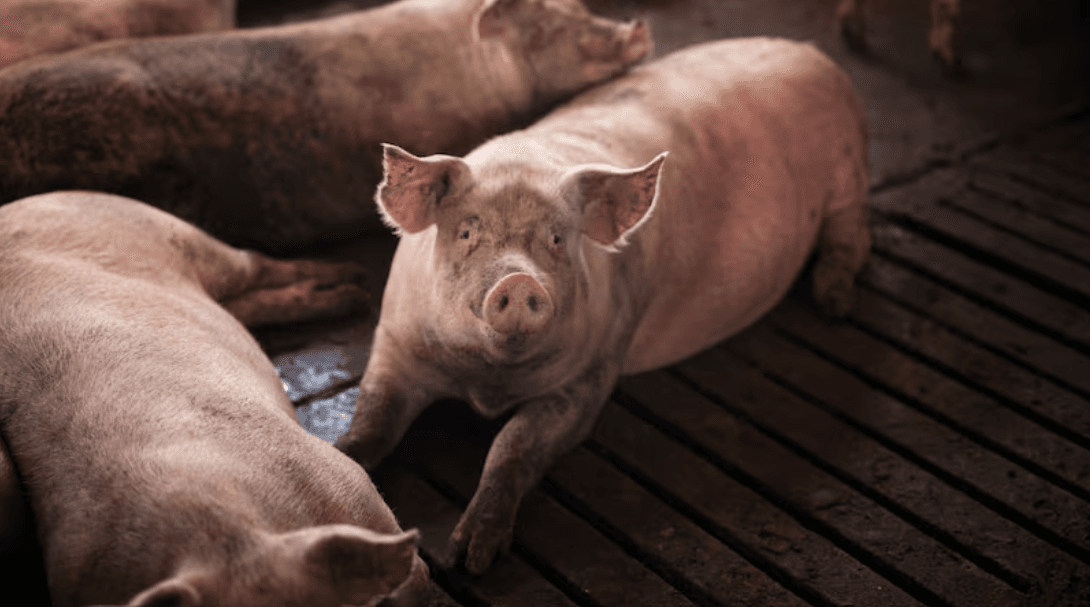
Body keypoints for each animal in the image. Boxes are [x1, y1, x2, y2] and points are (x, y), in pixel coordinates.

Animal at [0, 191, 436, 606]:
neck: (228, 538)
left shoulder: (350, 484)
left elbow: (414, 571)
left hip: (171, 231)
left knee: (256, 263)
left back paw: (354, 282)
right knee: (245, 303)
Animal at [335, 36, 873, 575]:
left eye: (556, 238)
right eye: (467, 232)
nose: (519, 280)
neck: (486, 383)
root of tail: (814, 54)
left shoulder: (593, 373)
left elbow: (513, 445)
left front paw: (471, 559)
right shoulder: (393, 343)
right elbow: (373, 416)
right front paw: (340, 456)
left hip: (849, 174)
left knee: (852, 236)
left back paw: (835, 305)